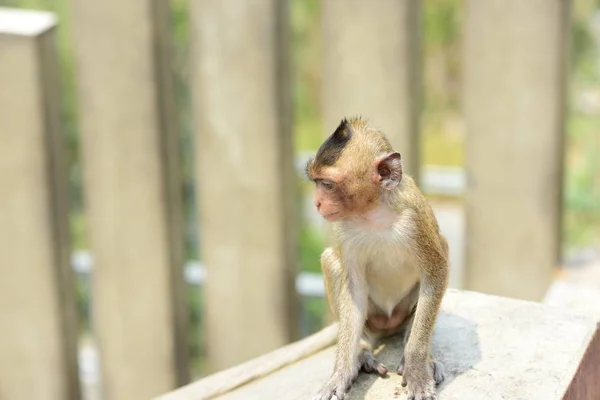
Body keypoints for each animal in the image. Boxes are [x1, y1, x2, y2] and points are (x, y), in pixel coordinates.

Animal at [304, 117, 450, 400]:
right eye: (315, 181)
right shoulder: (344, 230)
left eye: (327, 184)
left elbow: (435, 273)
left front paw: (417, 368)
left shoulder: (415, 219)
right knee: (331, 259)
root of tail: (388, 323)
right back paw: (362, 351)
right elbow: (354, 291)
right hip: (374, 317)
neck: (373, 211)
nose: (316, 203)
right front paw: (341, 373)